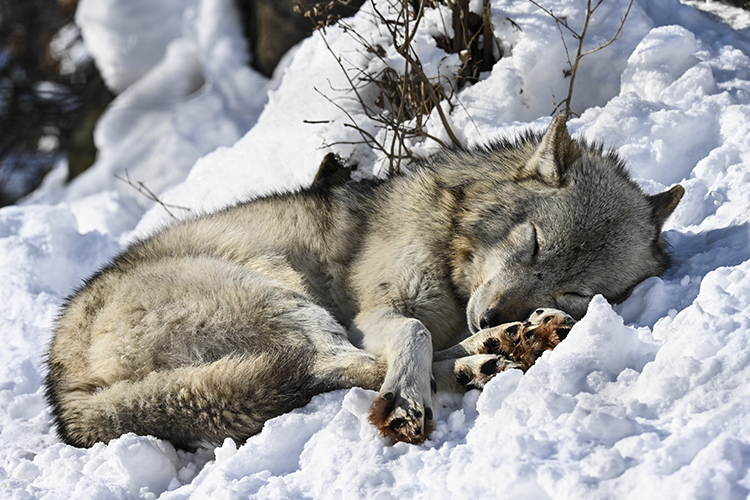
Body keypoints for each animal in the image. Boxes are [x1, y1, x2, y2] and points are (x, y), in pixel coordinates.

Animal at [44, 116, 684, 446]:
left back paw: (501, 349)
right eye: (532, 244)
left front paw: (515, 332)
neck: (448, 243)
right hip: (278, 288)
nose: (496, 315)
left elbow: (421, 340)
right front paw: (406, 397)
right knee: (340, 365)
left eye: (573, 290)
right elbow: (411, 337)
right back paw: (480, 356)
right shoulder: (376, 311)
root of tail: (61, 383)